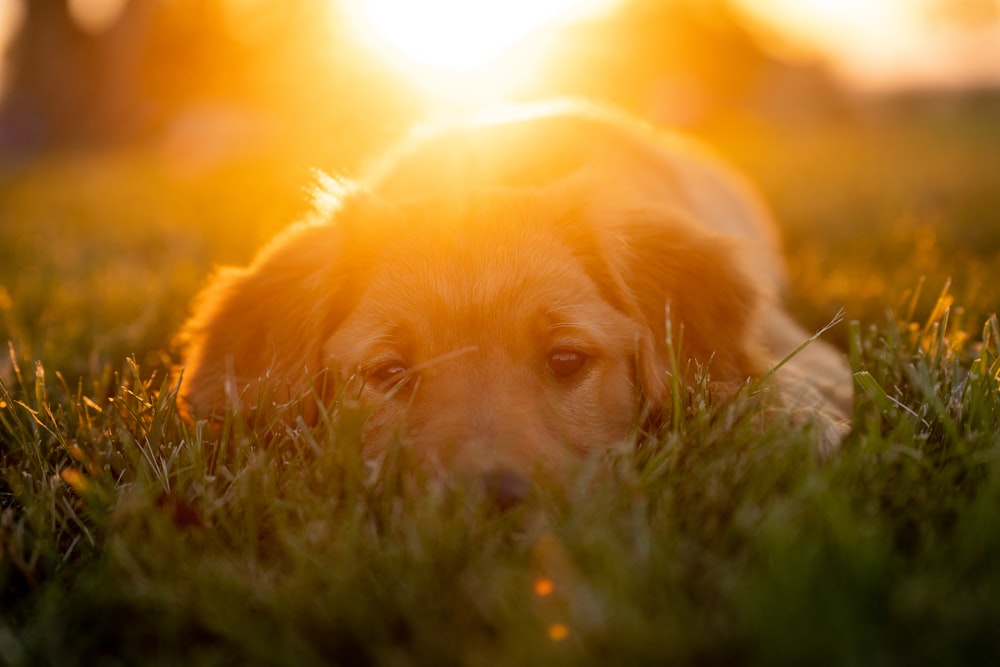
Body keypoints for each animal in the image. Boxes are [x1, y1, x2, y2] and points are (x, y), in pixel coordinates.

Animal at [178, 100, 852, 496]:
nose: (489, 499)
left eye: (566, 360)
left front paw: (797, 425)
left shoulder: (787, 337)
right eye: (389, 373)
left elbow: (779, 374)